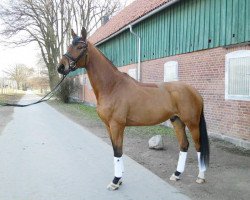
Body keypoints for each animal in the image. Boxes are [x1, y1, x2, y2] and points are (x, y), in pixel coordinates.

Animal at [58, 27, 209, 191]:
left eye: (80, 47)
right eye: (69, 46)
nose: (61, 67)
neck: (112, 86)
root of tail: (194, 91)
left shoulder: (116, 125)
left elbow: (117, 151)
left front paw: (115, 181)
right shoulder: (109, 126)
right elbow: (116, 150)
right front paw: (120, 179)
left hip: (192, 123)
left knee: (199, 146)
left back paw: (200, 177)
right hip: (177, 121)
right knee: (184, 145)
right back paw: (176, 175)